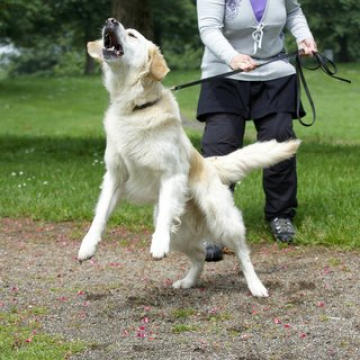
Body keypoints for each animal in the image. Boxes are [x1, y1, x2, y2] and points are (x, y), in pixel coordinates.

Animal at [79, 17, 300, 298]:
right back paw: (188, 282)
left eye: (132, 35)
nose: (111, 20)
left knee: (243, 254)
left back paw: (256, 286)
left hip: (223, 220)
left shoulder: (172, 174)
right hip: (183, 233)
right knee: (199, 255)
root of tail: (212, 164)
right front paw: (87, 246)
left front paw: (158, 244)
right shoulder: (115, 176)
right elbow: (100, 215)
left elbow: (165, 215)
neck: (135, 108)